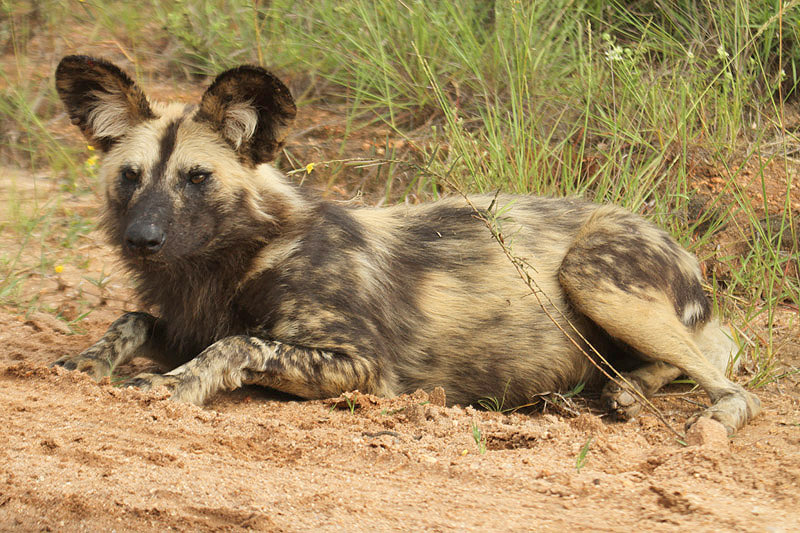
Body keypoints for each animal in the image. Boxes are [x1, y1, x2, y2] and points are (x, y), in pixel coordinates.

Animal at [53, 56, 760, 434]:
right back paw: (617, 390)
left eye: (197, 178)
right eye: (131, 176)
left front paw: (167, 387)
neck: (228, 262)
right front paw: (85, 361)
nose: (142, 240)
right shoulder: (183, 322)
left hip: (593, 277)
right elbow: (135, 317)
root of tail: (684, 249)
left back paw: (689, 413)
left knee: (730, 382)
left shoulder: (364, 368)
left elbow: (236, 343)